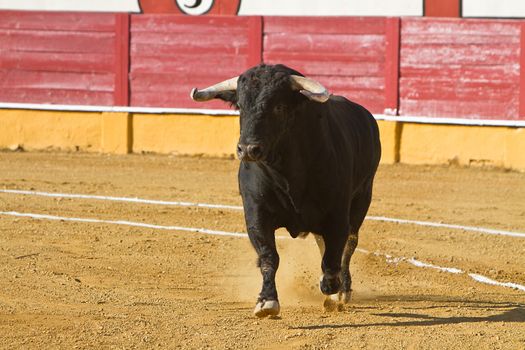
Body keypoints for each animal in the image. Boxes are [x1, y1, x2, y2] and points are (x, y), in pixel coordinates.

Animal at [190, 63, 378, 318]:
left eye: (278, 107)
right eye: (240, 106)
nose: (247, 149)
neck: (287, 172)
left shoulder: (337, 214)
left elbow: (334, 257)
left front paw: (332, 287)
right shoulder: (256, 214)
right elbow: (269, 256)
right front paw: (267, 301)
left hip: (362, 198)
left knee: (349, 244)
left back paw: (341, 292)